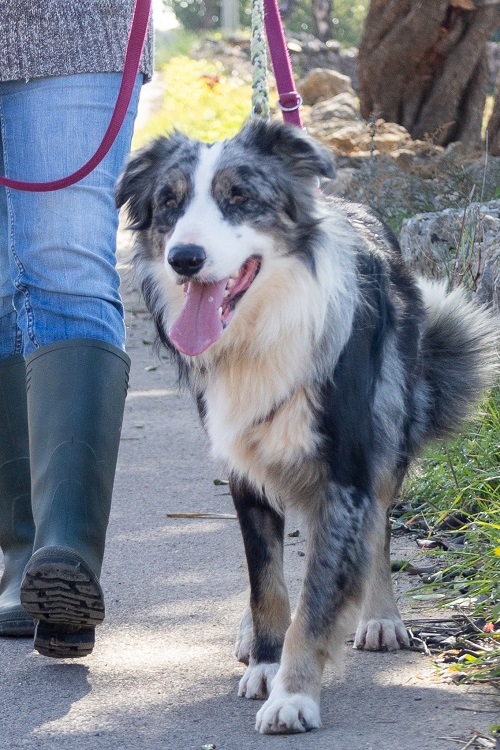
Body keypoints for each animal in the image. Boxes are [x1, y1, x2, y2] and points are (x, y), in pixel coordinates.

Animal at [116, 120, 498, 734]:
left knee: (378, 528)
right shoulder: (242, 468)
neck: (262, 327)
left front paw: (294, 695)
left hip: (389, 430)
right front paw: (267, 664)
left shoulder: (346, 470)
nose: (184, 258)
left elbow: (317, 599)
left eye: (238, 197)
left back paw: (380, 616)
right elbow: (266, 584)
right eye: (169, 203)